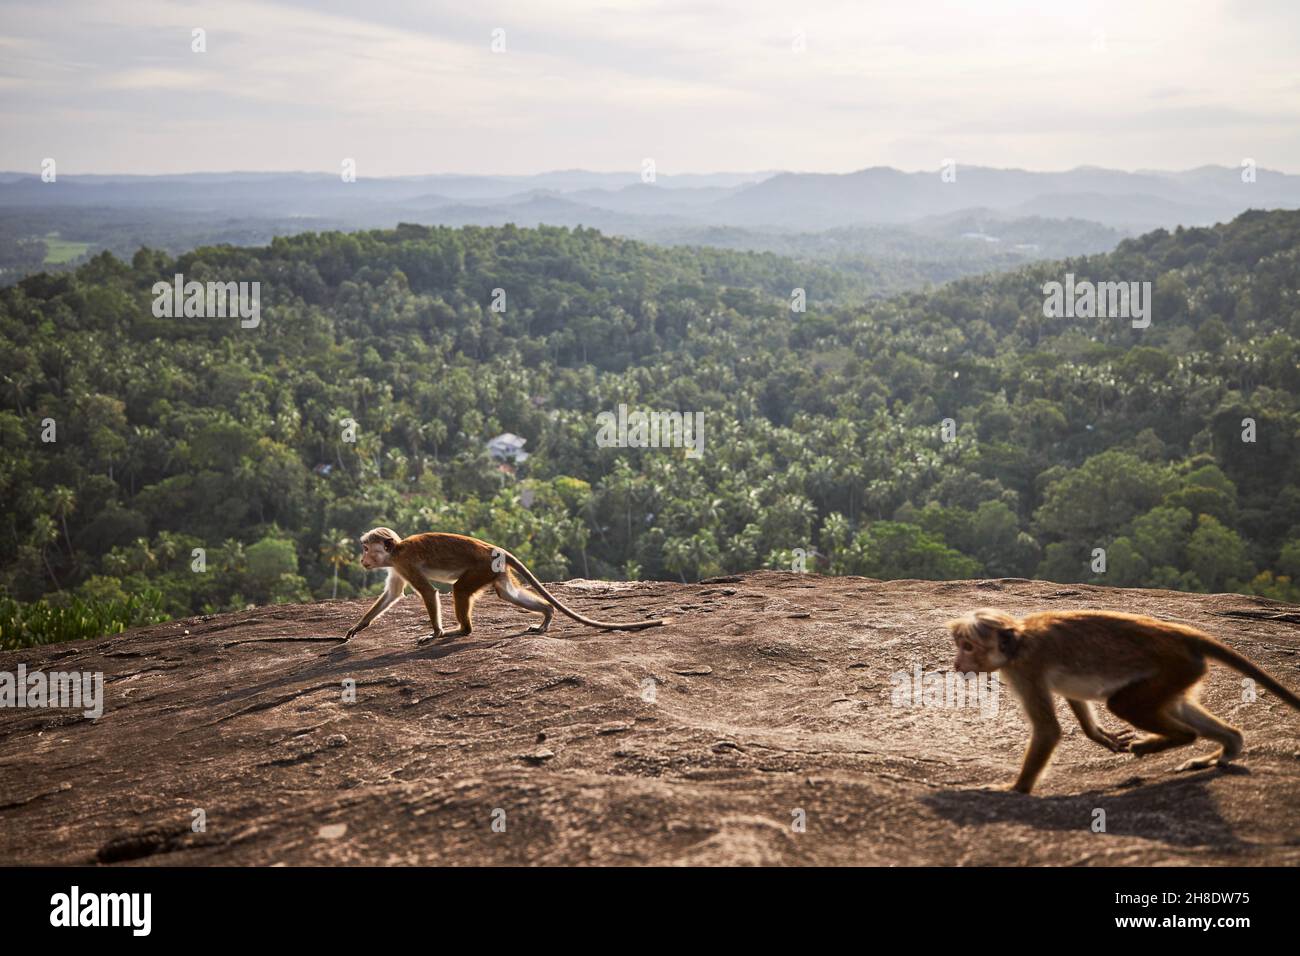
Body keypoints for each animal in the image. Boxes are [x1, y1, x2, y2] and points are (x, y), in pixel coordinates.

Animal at [344, 528, 669, 644]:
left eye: (366, 548)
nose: (361, 559)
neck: (395, 551)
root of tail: (494, 549)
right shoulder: (397, 566)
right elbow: (392, 593)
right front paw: (357, 627)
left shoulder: (405, 562)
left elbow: (427, 592)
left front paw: (435, 633)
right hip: (495, 572)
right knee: (507, 593)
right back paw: (547, 614)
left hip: (480, 567)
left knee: (460, 590)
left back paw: (463, 630)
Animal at [948, 608, 1300, 795]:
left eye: (968, 646)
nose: (956, 663)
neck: (1017, 641)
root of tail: (1181, 634)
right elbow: (1072, 695)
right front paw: (1098, 735)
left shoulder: (1025, 669)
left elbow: (1048, 730)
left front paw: (1015, 789)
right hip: (1183, 671)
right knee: (1177, 705)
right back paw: (1228, 745)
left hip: (1172, 666)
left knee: (1125, 706)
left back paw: (1171, 740)